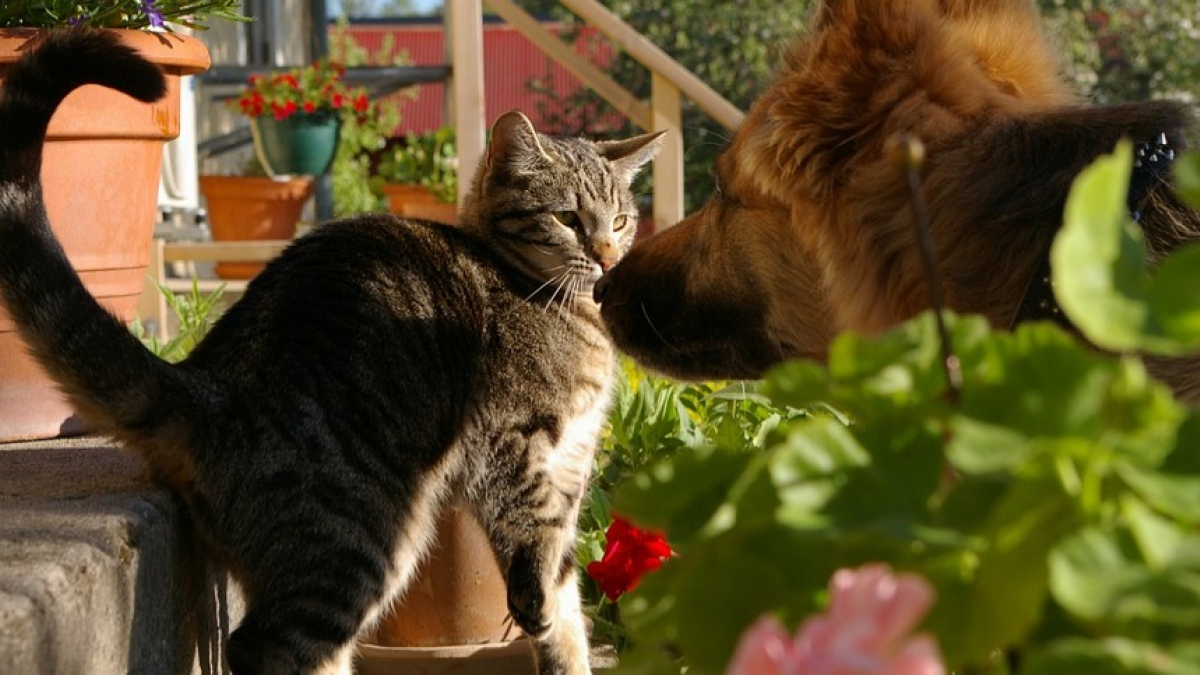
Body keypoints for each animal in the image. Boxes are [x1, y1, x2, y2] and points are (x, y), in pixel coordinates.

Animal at [0, 28, 657, 667]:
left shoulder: (573, 460)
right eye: (568, 218)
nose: (607, 256)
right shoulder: (510, 439)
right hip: (359, 540)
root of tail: (203, 381)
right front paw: (535, 599)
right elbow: (533, 536)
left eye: (621, 221)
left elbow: (566, 604)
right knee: (266, 645)